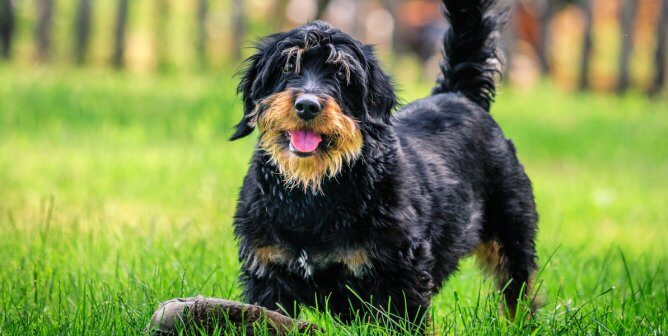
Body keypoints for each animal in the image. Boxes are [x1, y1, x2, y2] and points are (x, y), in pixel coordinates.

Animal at [230, 0, 536, 328]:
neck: (312, 193)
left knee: (518, 290)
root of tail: (457, 94)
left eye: (342, 74)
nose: (307, 105)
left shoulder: (402, 274)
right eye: (288, 65)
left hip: (512, 233)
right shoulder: (267, 272)